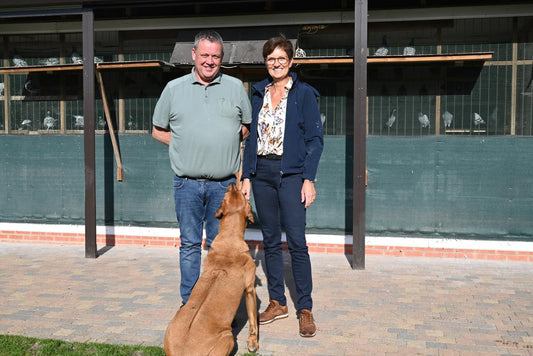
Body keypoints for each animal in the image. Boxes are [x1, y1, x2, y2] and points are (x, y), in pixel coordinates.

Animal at [164, 184, 260, 356]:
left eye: (227, 195)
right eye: (244, 196)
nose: (233, 184)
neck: (229, 237)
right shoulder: (250, 289)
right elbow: (253, 322)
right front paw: (253, 343)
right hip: (228, 338)